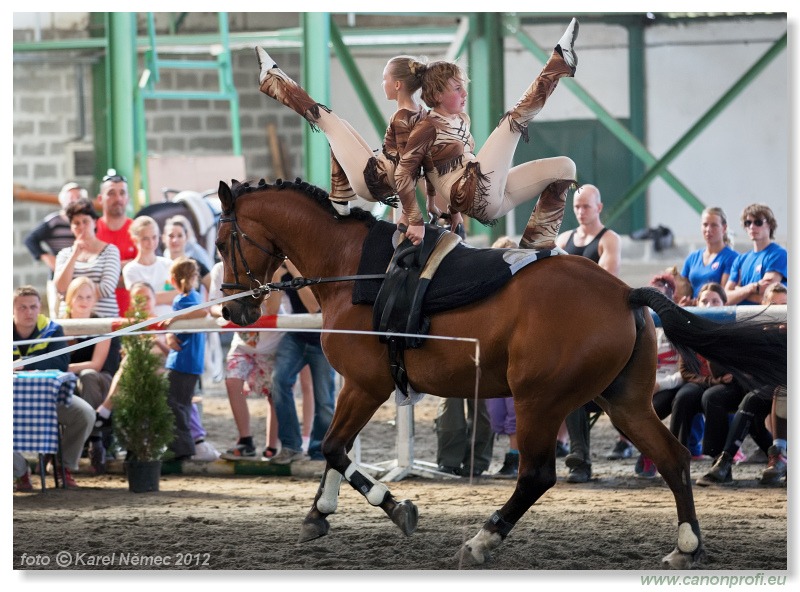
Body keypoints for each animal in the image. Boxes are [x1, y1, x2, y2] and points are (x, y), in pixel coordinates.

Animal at [216, 177, 784, 568]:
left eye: (222, 244)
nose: (235, 311)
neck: (354, 268)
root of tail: (624, 292)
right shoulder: (361, 389)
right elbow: (337, 449)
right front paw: (319, 512)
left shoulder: (366, 386)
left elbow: (335, 448)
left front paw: (394, 508)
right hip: (623, 402)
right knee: (673, 458)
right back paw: (687, 544)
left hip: (539, 401)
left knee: (537, 474)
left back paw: (482, 539)